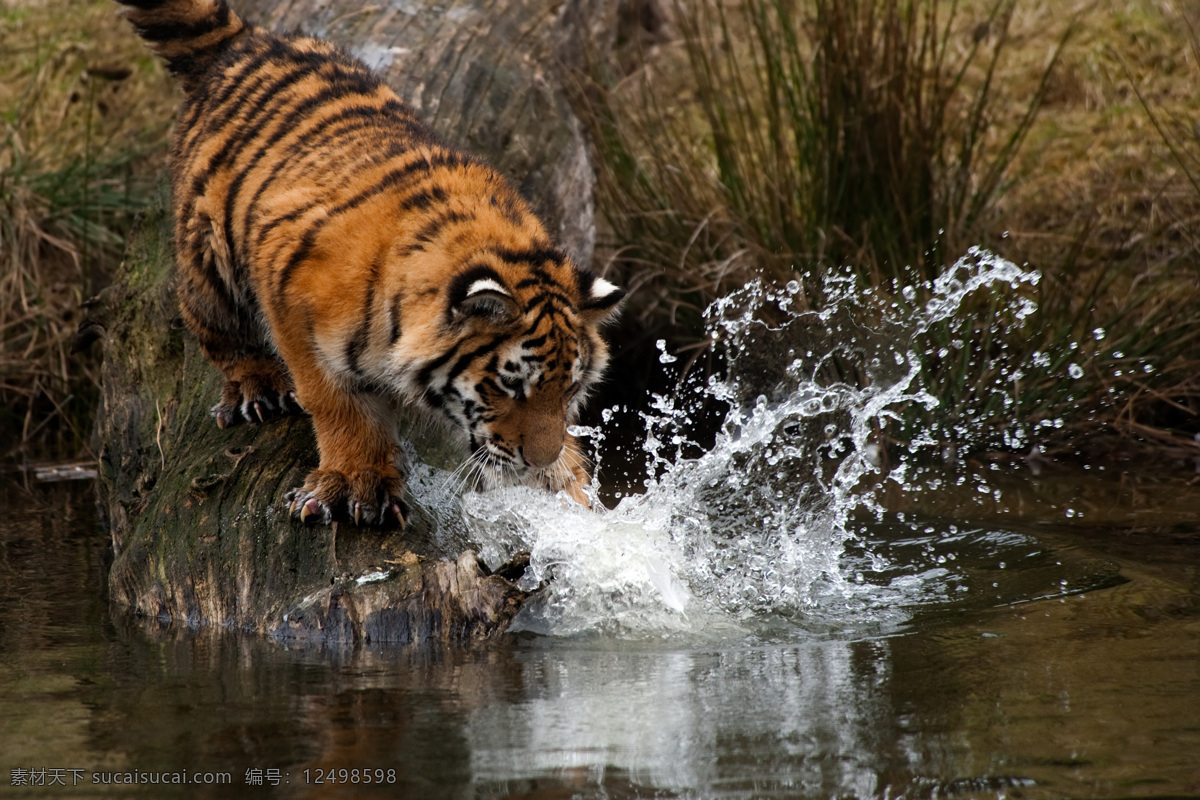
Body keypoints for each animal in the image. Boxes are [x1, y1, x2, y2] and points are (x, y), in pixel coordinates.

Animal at [115, 0, 624, 525]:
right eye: (511, 386)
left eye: (568, 390)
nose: (538, 460)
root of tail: (248, 38)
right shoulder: (291, 298)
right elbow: (338, 404)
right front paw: (356, 483)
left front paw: (573, 492)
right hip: (210, 256)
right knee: (214, 324)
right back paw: (258, 387)